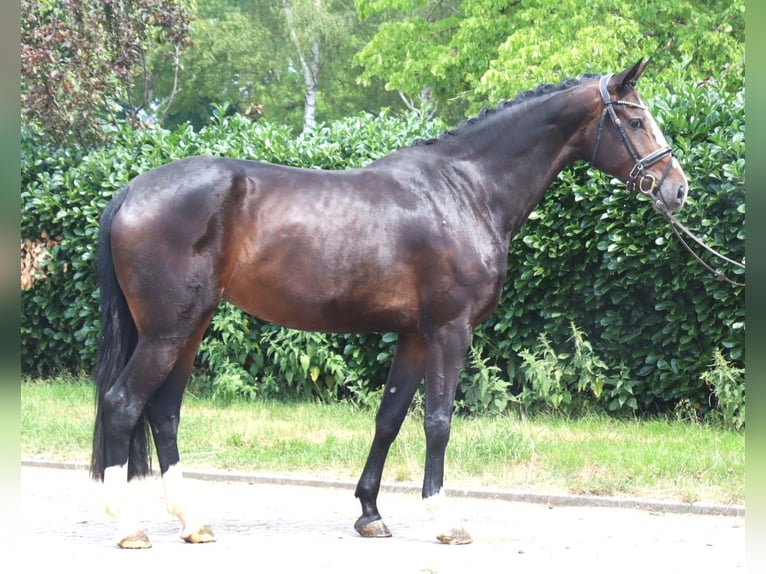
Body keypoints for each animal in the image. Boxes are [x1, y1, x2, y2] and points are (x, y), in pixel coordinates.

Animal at [90, 59, 688, 548]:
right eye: (636, 121)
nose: (676, 189)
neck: (464, 190)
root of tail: (131, 191)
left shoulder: (416, 335)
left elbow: (390, 418)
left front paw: (370, 513)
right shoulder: (449, 330)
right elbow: (438, 419)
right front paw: (445, 520)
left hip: (189, 327)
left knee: (164, 411)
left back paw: (192, 521)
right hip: (168, 332)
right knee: (122, 403)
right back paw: (130, 527)